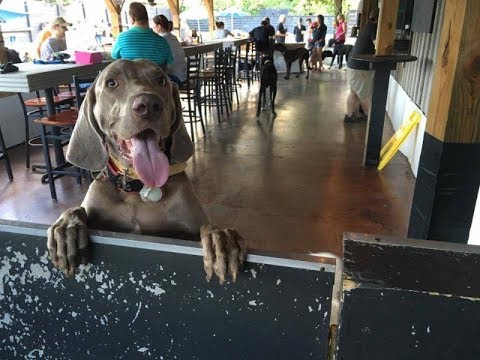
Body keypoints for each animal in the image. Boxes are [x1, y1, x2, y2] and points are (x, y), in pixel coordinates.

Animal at [47, 59, 246, 284]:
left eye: (161, 81)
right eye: (111, 83)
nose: (149, 105)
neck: (138, 188)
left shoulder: (189, 226)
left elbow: (208, 226)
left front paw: (221, 239)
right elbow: (76, 209)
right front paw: (66, 229)